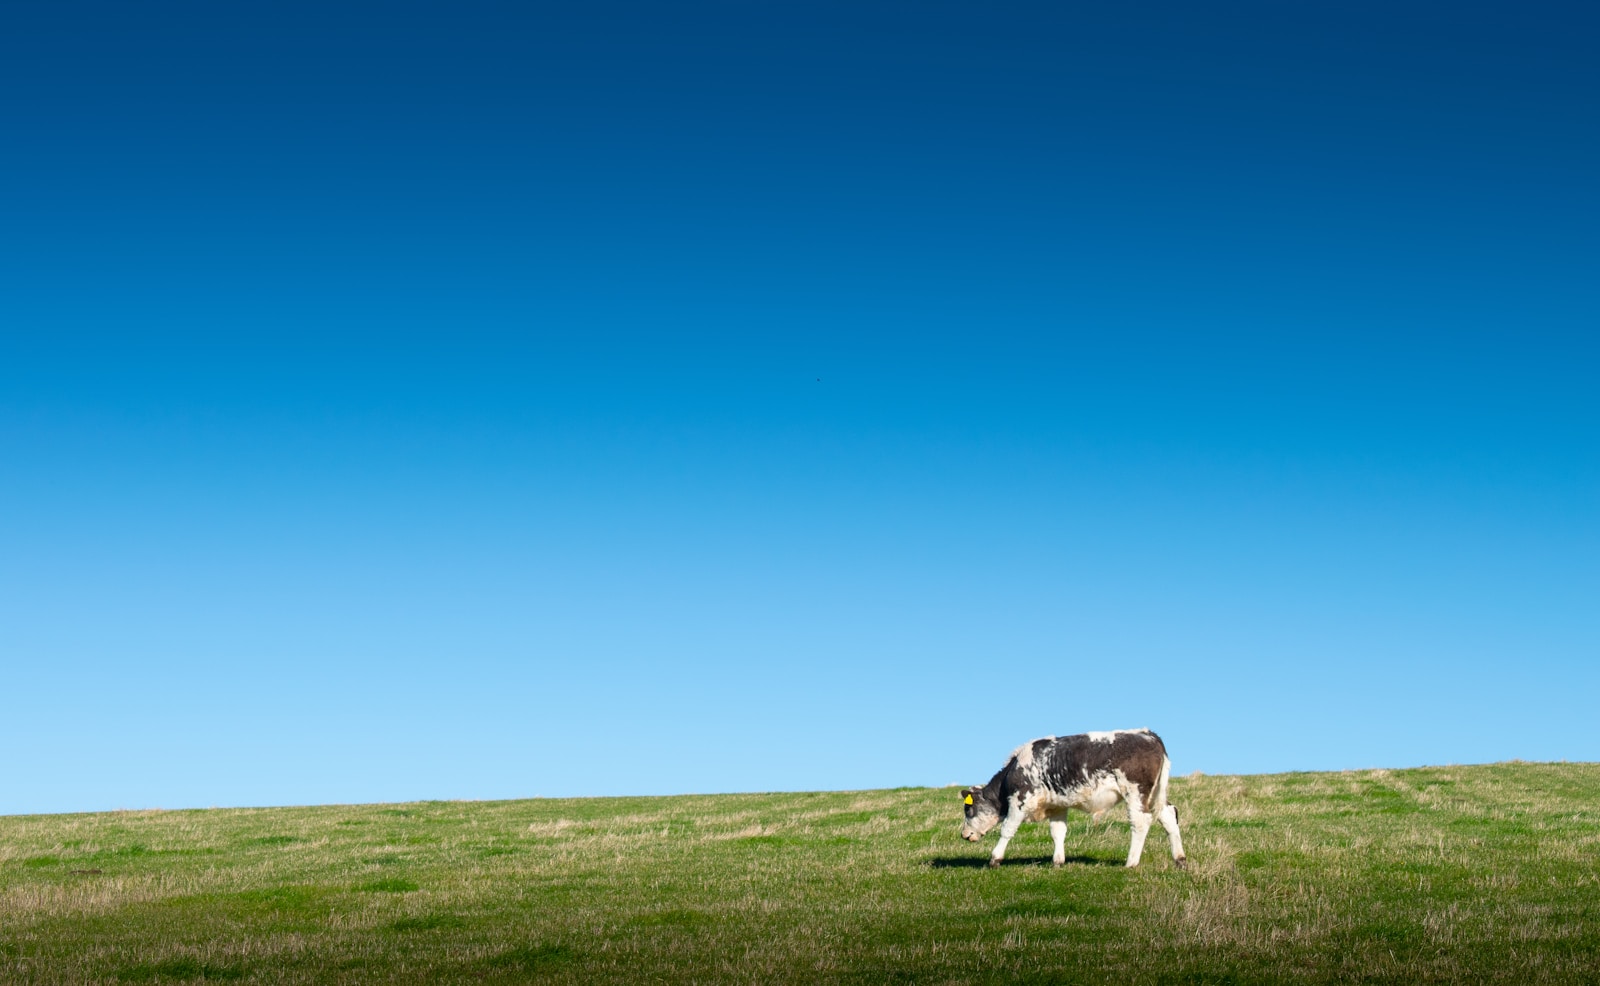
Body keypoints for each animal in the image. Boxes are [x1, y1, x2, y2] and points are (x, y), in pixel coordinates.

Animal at [960, 723, 1190, 870]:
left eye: (968, 809)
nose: (964, 834)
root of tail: (1147, 733)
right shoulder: (1057, 805)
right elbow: (1058, 832)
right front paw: (1058, 861)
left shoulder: (1020, 800)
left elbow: (1007, 830)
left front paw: (995, 859)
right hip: (1154, 795)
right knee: (1169, 816)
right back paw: (1180, 859)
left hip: (1135, 792)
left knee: (1140, 822)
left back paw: (1131, 863)